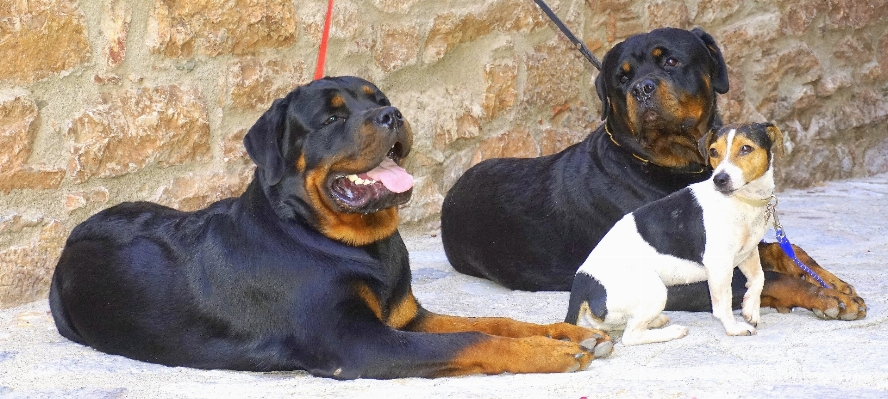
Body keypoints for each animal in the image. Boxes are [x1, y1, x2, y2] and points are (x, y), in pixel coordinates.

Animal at [48, 76, 612, 380]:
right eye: (330, 120)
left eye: (378, 98)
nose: (391, 114)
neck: (357, 245)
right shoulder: (359, 343)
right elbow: (473, 340)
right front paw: (549, 352)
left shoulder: (404, 317)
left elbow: (494, 321)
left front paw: (566, 331)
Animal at [444, 27, 868, 322]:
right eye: (622, 77)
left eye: (670, 62)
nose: (642, 88)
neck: (675, 166)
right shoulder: (676, 278)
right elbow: (767, 279)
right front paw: (827, 298)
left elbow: (783, 253)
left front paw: (830, 282)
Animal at [568, 122, 784, 346]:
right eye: (713, 152)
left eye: (746, 148)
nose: (719, 180)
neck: (744, 200)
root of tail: (582, 283)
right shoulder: (719, 265)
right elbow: (723, 305)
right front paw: (734, 328)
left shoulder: (748, 252)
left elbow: (759, 278)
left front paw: (751, 309)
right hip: (655, 291)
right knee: (630, 336)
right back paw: (672, 331)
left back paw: (655, 321)